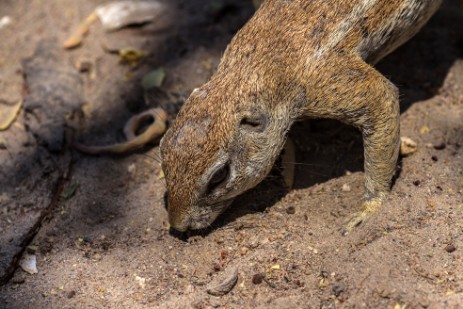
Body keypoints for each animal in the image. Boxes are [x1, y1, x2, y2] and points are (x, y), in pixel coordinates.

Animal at [161, 0, 444, 231]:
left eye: (219, 176)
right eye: (162, 157)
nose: (178, 225)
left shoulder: (327, 83)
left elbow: (382, 96)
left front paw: (369, 207)